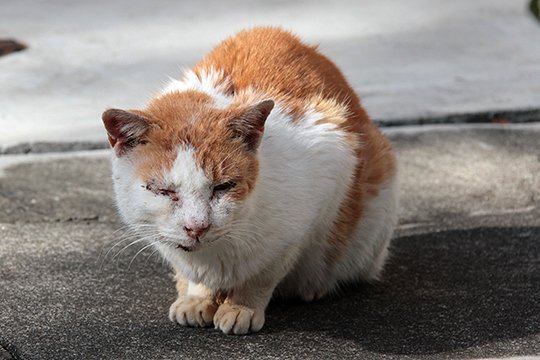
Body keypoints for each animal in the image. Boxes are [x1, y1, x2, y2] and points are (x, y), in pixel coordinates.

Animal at [102, 27, 396, 334]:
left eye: (223, 187)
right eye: (163, 190)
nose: (197, 227)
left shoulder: (324, 176)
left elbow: (264, 273)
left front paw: (241, 307)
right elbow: (197, 276)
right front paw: (197, 297)